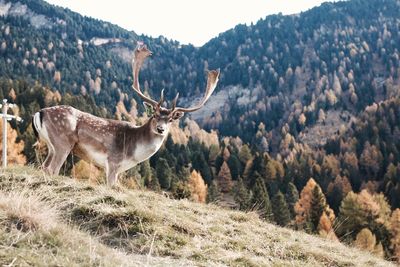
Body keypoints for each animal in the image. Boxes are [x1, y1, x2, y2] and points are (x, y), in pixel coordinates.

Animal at [32, 44, 220, 186]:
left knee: (43, 166)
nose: (160, 129)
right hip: (63, 142)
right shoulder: (113, 162)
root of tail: (40, 112)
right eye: (154, 115)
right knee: (51, 169)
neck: (133, 153)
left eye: (170, 120)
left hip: (52, 145)